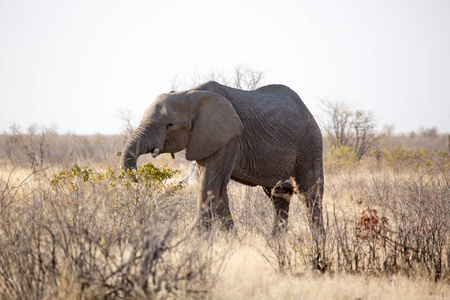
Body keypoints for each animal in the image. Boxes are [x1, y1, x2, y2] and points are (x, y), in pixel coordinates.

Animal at [119, 81, 324, 233]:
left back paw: (318, 243)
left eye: (169, 125)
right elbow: (217, 187)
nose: (139, 178)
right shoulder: (206, 138)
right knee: (279, 197)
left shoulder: (229, 138)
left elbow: (212, 185)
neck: (190, 94)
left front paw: (193, 238)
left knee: (310, 195)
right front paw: (232, 239)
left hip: (309, 145)